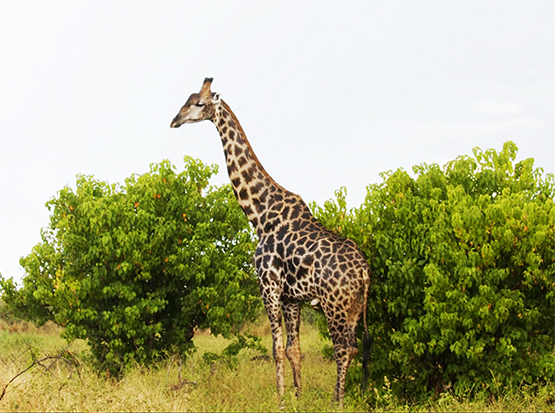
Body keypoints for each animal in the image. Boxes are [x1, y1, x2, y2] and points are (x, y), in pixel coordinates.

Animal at [169, 77, 374, 406]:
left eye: (198, 103)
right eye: (186, 101)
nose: (175, 120)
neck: (259, 214)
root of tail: (365, 272)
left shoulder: (268, 286)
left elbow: (276, 349)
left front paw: (280, 399)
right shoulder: (291, 298)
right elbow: (294, 350)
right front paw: (298, 397)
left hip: (334, 304)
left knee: (344, 347)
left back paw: (338, 401)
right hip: (355, 306)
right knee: (356, 346)